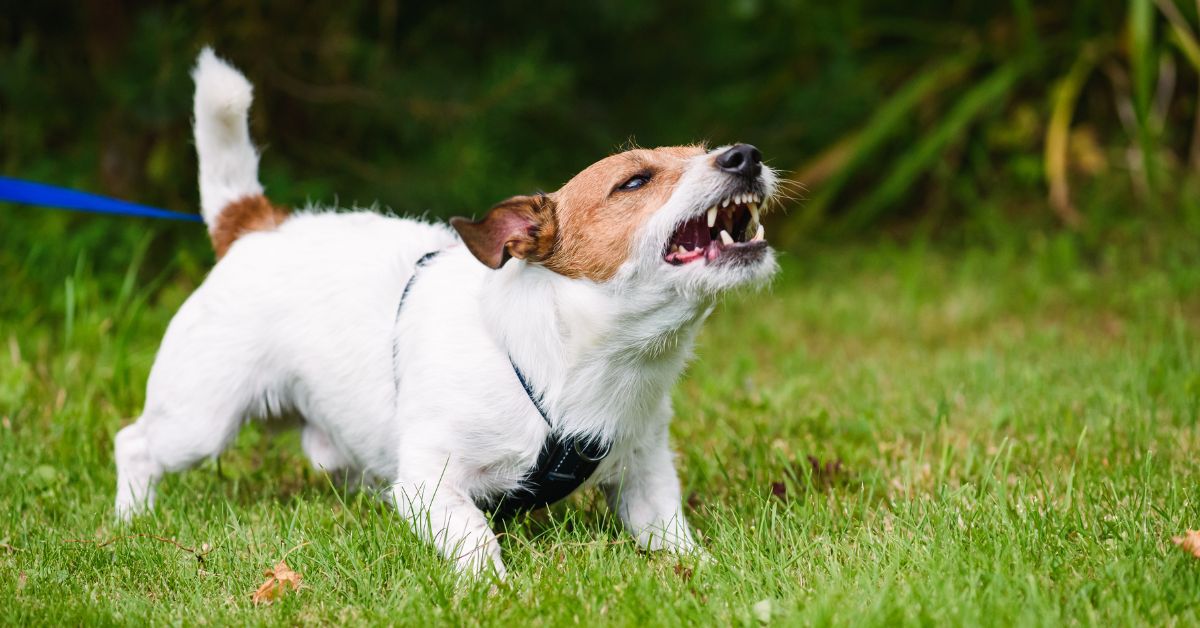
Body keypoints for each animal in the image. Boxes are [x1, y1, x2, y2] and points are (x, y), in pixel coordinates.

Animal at [114, 50, 777, 581]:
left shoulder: (645, 473)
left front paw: (705, 572)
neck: (576, 360)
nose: (746, 155)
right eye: (634, 181)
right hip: (199, 419)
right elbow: (475, 538)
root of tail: (254, 225)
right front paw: (497, 591)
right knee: (134, 443)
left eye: (705, 151)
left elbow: (669, 532)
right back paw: (130, 520)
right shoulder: (430, 483)